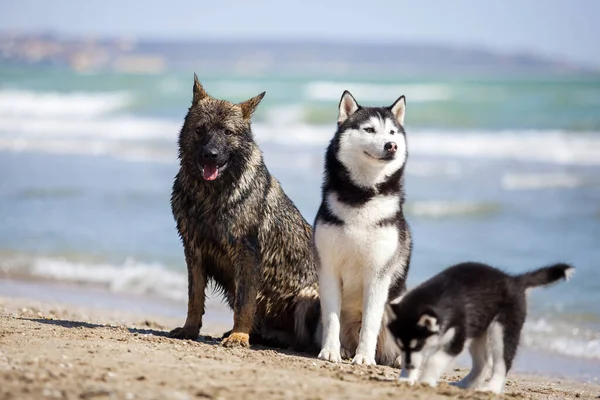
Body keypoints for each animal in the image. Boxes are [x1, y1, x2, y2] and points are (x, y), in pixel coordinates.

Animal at [314, 90, 412, 366]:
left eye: (392, 132)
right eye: (369, 129)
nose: (392, 146)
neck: (362, 195)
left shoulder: (378, 274)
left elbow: (370, 323)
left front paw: (365, 357)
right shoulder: (329, 269)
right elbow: (332, 319)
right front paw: (331, 351)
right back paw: (346, 349)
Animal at [386, 262, 576, 394]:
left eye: (418, 344)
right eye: (400, 346)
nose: (408, 366)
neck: (436, 299)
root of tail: (514, 280)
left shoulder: (456, 338)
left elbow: (435, 360)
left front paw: (425, 380)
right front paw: (406, 378)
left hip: (502, 330)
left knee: (501, 363)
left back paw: (492, 388)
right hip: (479, 332)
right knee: (483, 363)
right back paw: (465, 384)